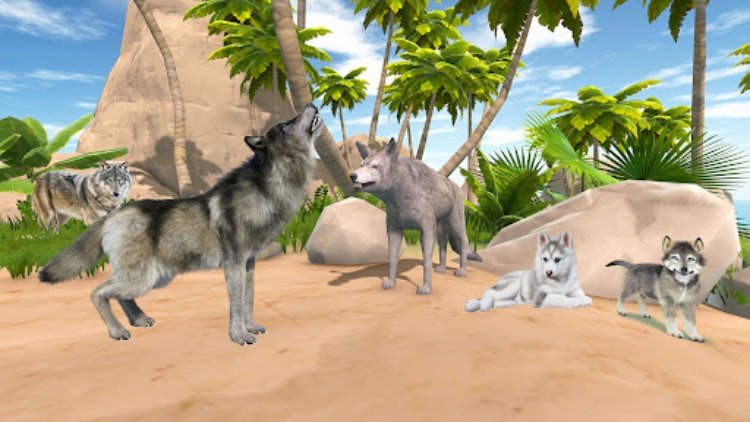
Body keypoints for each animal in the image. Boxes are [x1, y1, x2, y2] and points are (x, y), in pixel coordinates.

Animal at [38, 103, 323, 345]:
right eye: (285, 124)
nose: (311, 104)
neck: (268, 186)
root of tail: (113, 215)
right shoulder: (234, 264)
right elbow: (236, 304)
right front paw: (239, 336)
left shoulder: (249, 264)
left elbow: (248, 300)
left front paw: (250, 326)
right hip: (142, 278)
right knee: (98, 293)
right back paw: (117, 331)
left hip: (154, 278)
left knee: (120, 296)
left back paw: (139, 320)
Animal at [349, 139, 482, 295]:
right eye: (361, 165)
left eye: (375, 166)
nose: (352, 175)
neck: (400, 198)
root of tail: (454, 184)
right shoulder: (394, 230)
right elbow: (392, 259)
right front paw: (391, 282)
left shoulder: (426, 230)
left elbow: (426, 262)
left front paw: (426, 287)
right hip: (440, 229)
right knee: (443, 245)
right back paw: (442, 268)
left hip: (456, 224)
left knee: (464, 242)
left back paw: (462, 270)